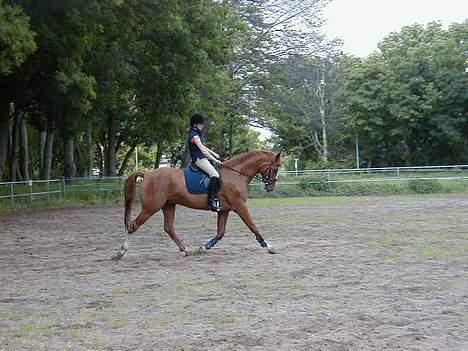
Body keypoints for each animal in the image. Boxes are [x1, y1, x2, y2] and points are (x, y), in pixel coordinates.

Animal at [112, 150, 282, 260]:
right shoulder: (240, 206)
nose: (271, 187)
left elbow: (220, 233)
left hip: (168, 205)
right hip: (151, 207)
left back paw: (185, 250)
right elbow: (253, 226)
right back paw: (121, 252)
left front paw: (202, 248)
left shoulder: (224, 210)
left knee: (168, 228)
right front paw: (269, 246)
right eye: (275, 168)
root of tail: (147, 174)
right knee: (133, 225)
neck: (236, 174)